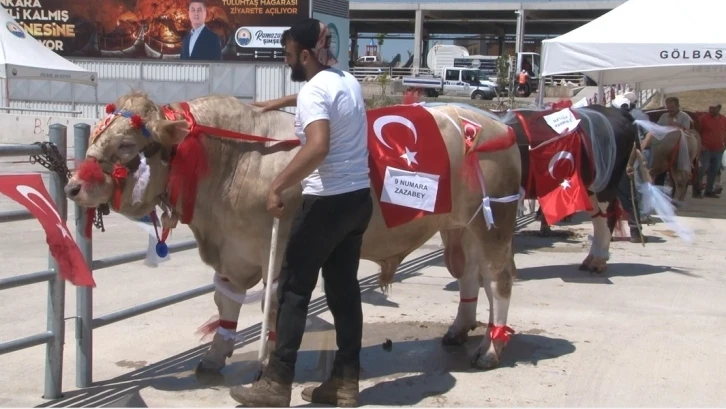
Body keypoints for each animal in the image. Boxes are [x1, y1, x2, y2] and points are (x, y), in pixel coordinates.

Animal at [64, 91, 524, 372]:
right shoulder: (231, 251)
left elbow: (273, 304)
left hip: (495, 222)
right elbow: (225, 302)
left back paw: (492, 348)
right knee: (471, 277)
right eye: (98, 133)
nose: (72, 186)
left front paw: (267, 361)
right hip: (461, 227)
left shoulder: (280, 245)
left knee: (498, 280)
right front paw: (215, 356)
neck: (236, 160)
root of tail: (492, 121)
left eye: (126, 145)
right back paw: (460, 330)